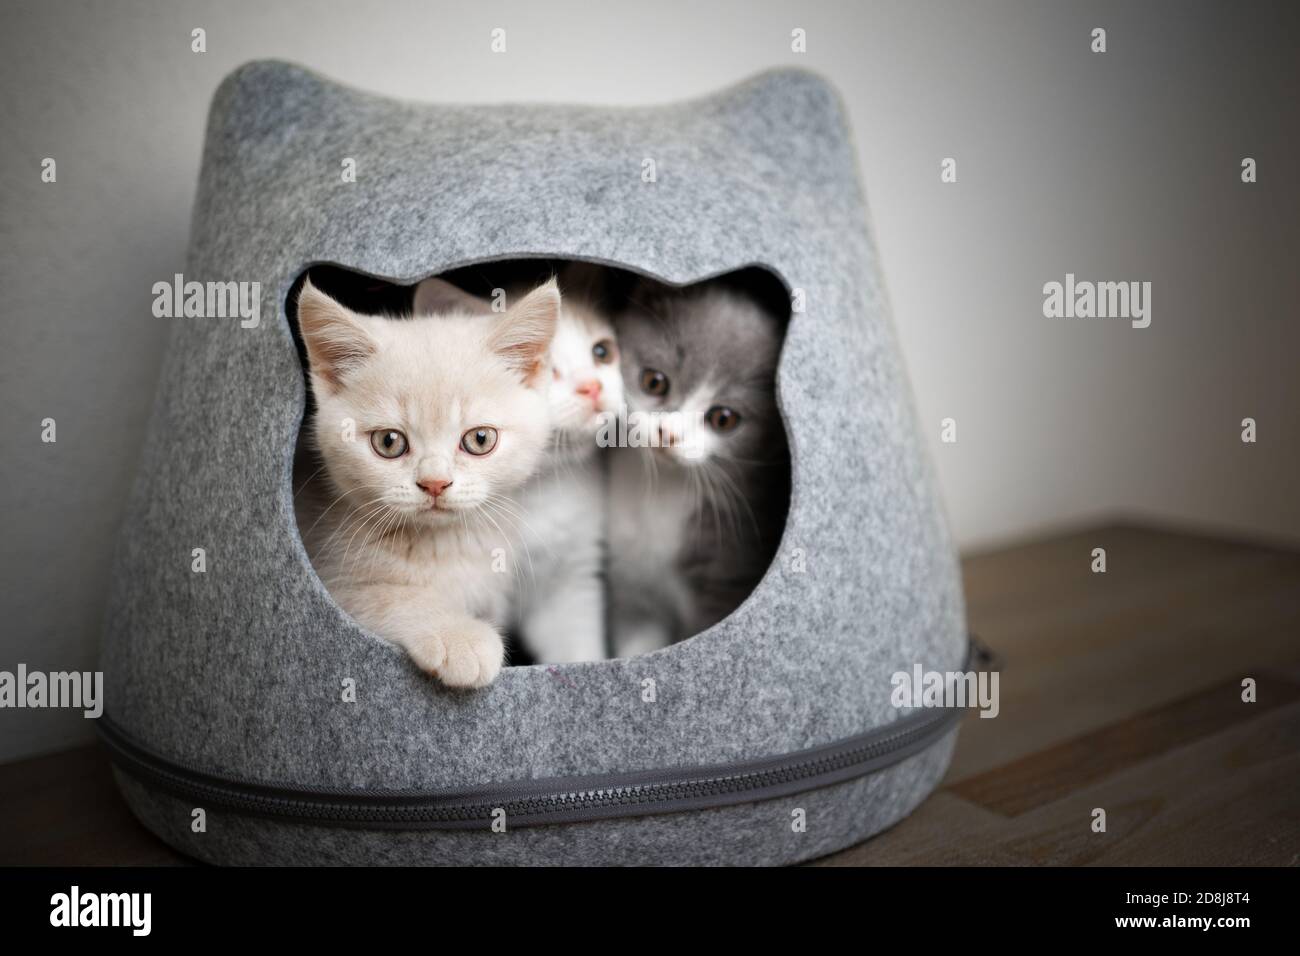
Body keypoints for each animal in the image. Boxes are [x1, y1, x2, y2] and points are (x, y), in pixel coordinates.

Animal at [297, 277, 561, 686]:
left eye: (479, 439)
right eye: (389, 442)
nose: (435, 483)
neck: (443, 546)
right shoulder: (331, 582)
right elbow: (386, 596)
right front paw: (459, 635)